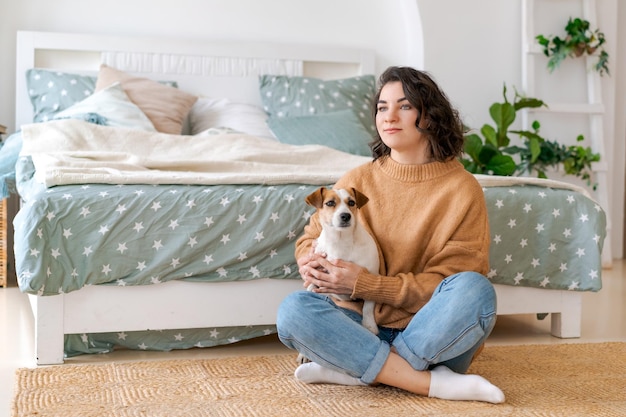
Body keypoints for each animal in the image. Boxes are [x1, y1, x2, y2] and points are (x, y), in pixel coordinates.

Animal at [302, 187, 378, 334]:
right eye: (330, 203)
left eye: (352, 202)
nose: (346, 216)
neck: (340, 241)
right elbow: (312, 284)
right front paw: (309, 290)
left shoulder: (371, 275)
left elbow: (368, 306)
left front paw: (369, 324)